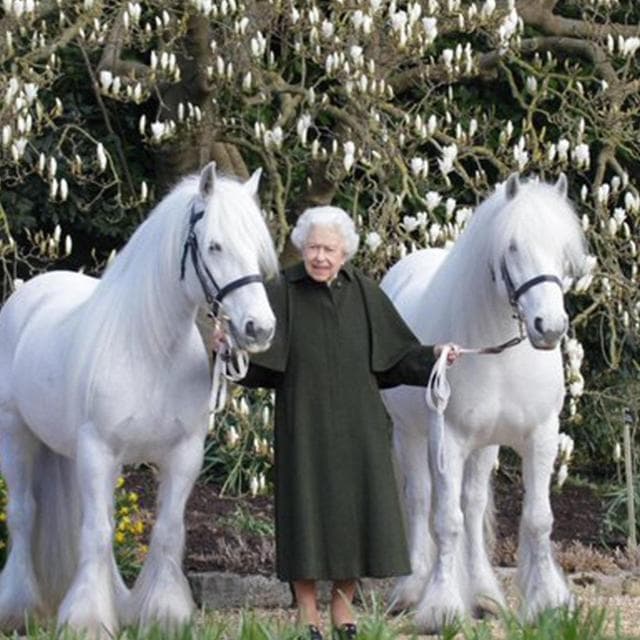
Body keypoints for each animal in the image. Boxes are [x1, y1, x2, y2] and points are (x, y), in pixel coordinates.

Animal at [0, 162, 278, 637]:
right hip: (17, 436)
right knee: (23, 514)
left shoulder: (183, 455)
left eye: (257, 246)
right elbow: (97, 533)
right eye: (214, 245)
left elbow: (165, 531)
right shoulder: (99, 450)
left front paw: (163, 613)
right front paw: (88, 620)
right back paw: (20, 607)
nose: (259, 328)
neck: (150, 350)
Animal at [380, 174, 588, 632]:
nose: (550, 327)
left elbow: (537, 519)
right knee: (420, 500)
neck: (500, 355)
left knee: (473, 507)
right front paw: (440, 608)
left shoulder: (541, 435)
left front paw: (547, 603)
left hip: (485, 446)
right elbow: (446, 522)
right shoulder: (449, 440)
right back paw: (411, 590)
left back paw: (484, 595)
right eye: (512, 247)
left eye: (563, 249)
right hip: (410, 435)